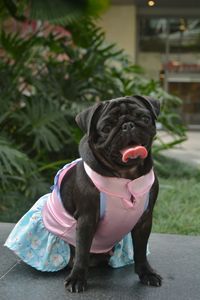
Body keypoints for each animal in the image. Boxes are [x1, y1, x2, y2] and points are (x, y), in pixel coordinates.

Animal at [61, 96, 162, 292]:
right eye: (107, 128)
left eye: (144, 118)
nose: (128, 125)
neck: (126, 175)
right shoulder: (86, 220)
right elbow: (82, 251)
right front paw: (77, 278)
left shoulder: (144, 220)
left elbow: (141, 250)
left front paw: (147, 273)